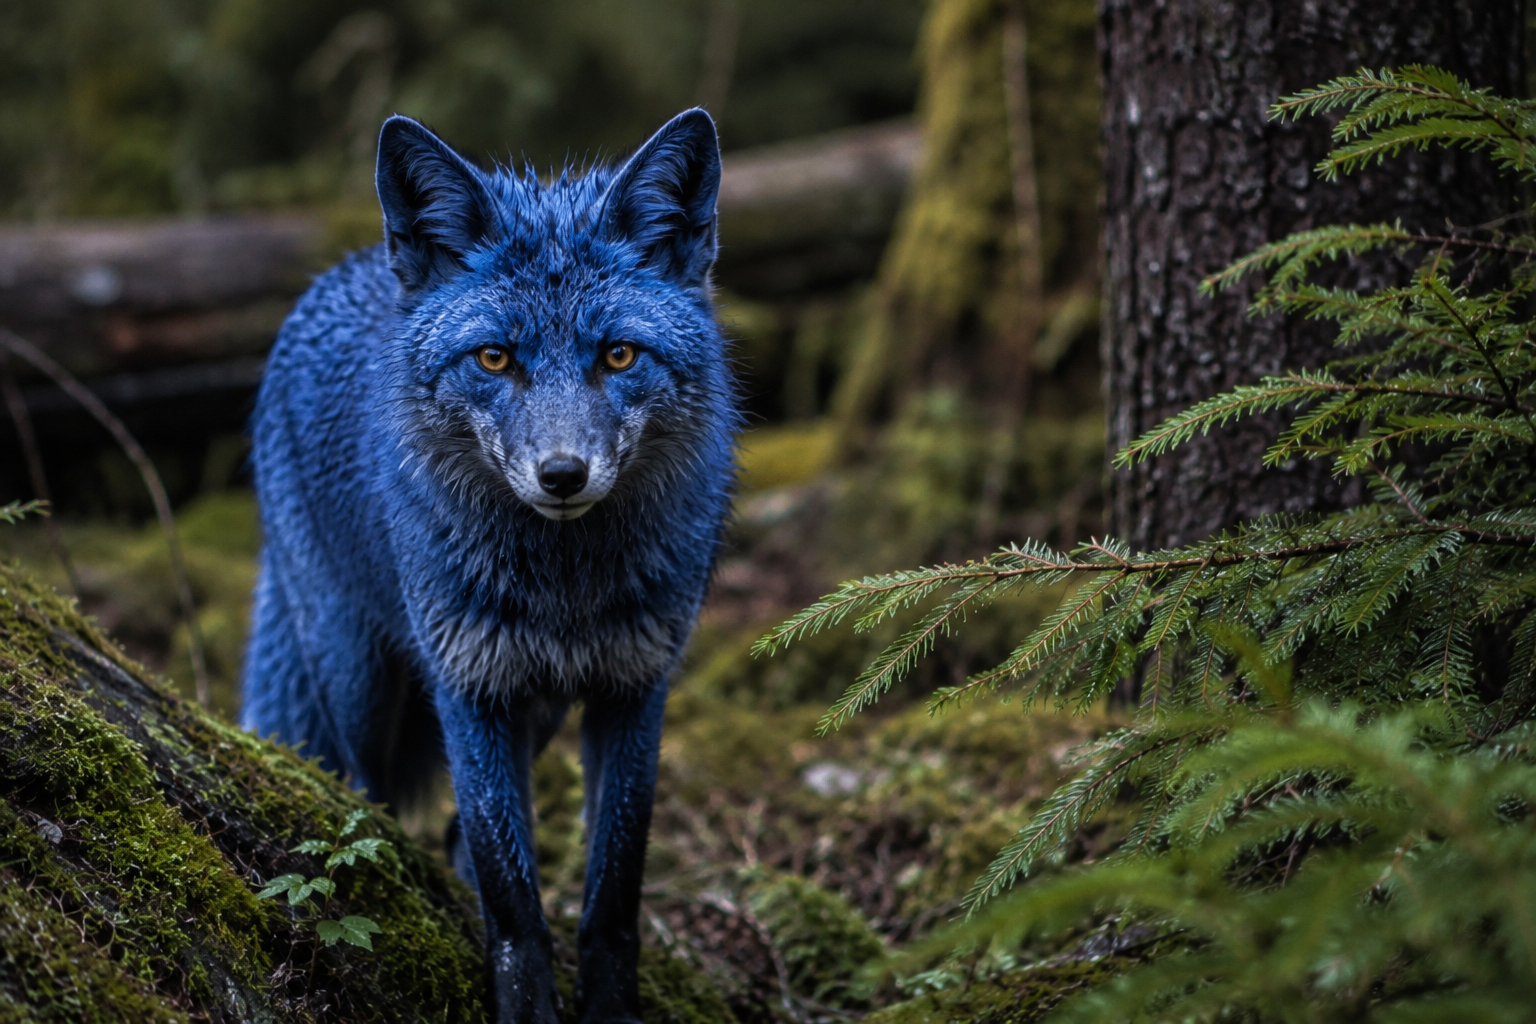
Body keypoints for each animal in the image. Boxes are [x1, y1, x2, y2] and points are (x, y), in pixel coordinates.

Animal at [241, 108, 737, 1023]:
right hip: (357, 681)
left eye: (618, 357)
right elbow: (514, 908)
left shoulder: (632, 689)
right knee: (367, 800)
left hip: (531, 715)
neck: (564, 589)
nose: (562, 475)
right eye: (496, 359)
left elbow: (612, 899)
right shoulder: (468, 687)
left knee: (452, 837)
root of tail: (344, 271)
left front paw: (609, 1011)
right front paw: (528, 1009)